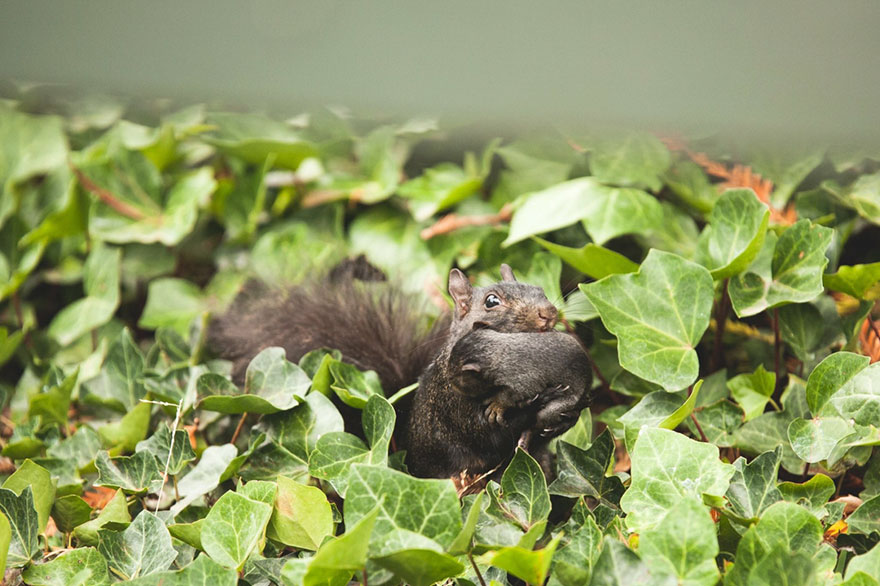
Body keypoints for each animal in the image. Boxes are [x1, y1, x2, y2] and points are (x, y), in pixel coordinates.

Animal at [209, 256, 593, 479]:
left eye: (538, 287)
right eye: (492, 301)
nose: (549, 313)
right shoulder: (456, 400)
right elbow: (489, 425)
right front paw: (522, 404)